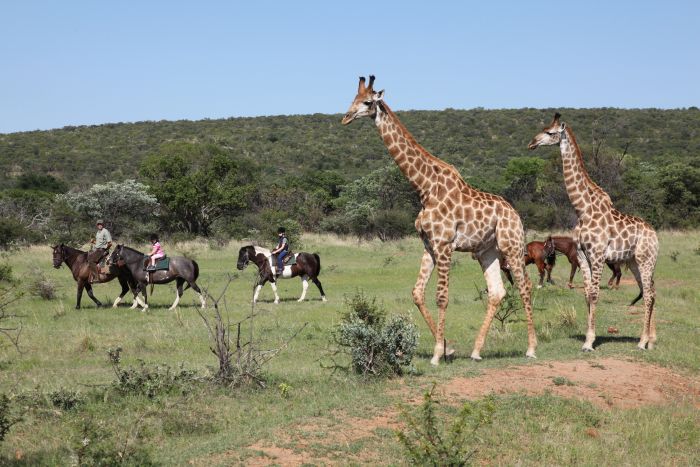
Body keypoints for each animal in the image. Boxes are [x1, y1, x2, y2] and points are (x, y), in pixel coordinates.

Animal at [340, 75, 536, 364]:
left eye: (366, 102)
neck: (425, 187)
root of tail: (515, 214)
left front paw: (436, 355)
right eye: (352, 99)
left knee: (525, 286)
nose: (345, 118)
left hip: (512, 246)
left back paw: (531, 348)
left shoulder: (444, 244)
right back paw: (476, 351)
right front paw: (448, 348)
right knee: (497, 291)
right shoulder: (428, 245)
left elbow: (442, 297)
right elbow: (417, 293)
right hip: (486, 251)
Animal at [528, 113, 660, 352]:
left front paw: (590, 342)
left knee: (648, 294)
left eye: (550, 132)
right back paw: (650, 340)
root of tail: (655, 235)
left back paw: (642, 341)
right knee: (650, 292)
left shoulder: (597, 254)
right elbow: (586, 293)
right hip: (635, 262)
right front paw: (588, 338)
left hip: (647, 260)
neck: (583, 208)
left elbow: (595, 293)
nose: (531, 143)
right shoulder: (582, 255)